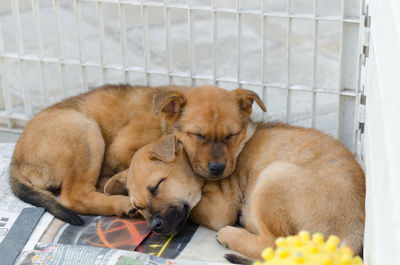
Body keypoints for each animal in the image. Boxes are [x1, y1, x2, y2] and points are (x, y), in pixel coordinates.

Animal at [9, 85, 264, 225]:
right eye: (197, 135)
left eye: (232, 135)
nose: (218, 169)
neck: (162, 124)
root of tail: (15, 162)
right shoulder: (119, 150)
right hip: (85, 132)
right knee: (73, 195)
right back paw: (121, 203)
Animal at [105, 127, 366, 258]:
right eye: (138, 207)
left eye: (158, 185)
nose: (154, 227)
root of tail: (353, 233)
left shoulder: (219, 210)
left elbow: (194, 208)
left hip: (274, 175)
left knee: (272, 243)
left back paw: (232, 234)